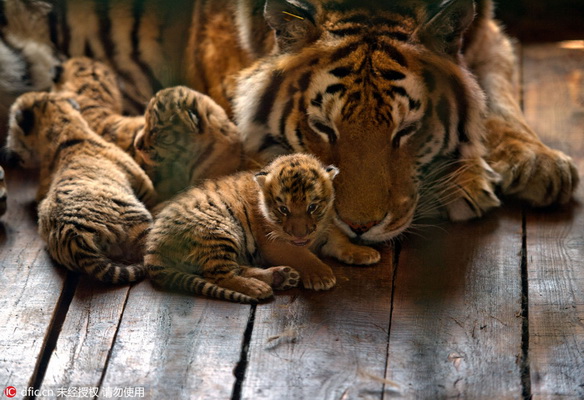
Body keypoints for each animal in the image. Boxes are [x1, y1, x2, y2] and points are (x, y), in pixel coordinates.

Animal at [0, 0, 576, 242]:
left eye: (404, 132)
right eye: (325, 129)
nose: (359, 228)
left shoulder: (487, 34)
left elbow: (496, 99)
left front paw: (541, 164)